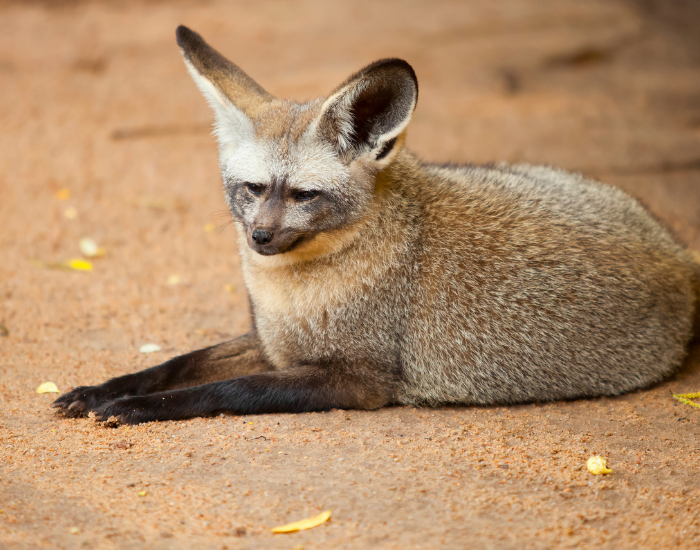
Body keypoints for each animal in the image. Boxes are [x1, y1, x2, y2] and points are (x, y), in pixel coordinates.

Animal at [54, 25, 700, 425]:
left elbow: (222, 390)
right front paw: (103, 389)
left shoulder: (358, 380)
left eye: (304, 195)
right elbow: (174, 364)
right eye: (253, 189)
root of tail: (679, 255)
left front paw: (139, 408)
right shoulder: (271, 344)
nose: (260, 238)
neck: (296, 292)